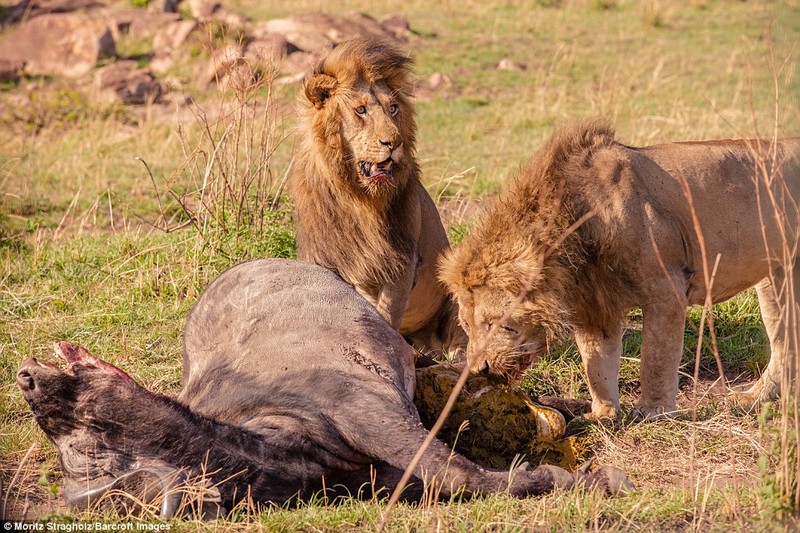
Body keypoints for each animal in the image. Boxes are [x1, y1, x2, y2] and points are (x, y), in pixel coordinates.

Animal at [290, 37, 466, 354]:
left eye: (393, 108)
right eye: (360, 110)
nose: (393, 142)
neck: (356, 199)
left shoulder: (401, 263)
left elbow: (385, 317)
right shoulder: (325, 261)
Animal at [440, 119, 800, 420]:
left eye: (501, 325)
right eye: (466, 326)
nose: (479, 369)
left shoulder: (665, 288)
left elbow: (656, 356)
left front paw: (652, 411)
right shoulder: (595, 304)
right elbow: (597, 365)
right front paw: (602, 415)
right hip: (777, 278)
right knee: (785, 341)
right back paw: (755, 398)